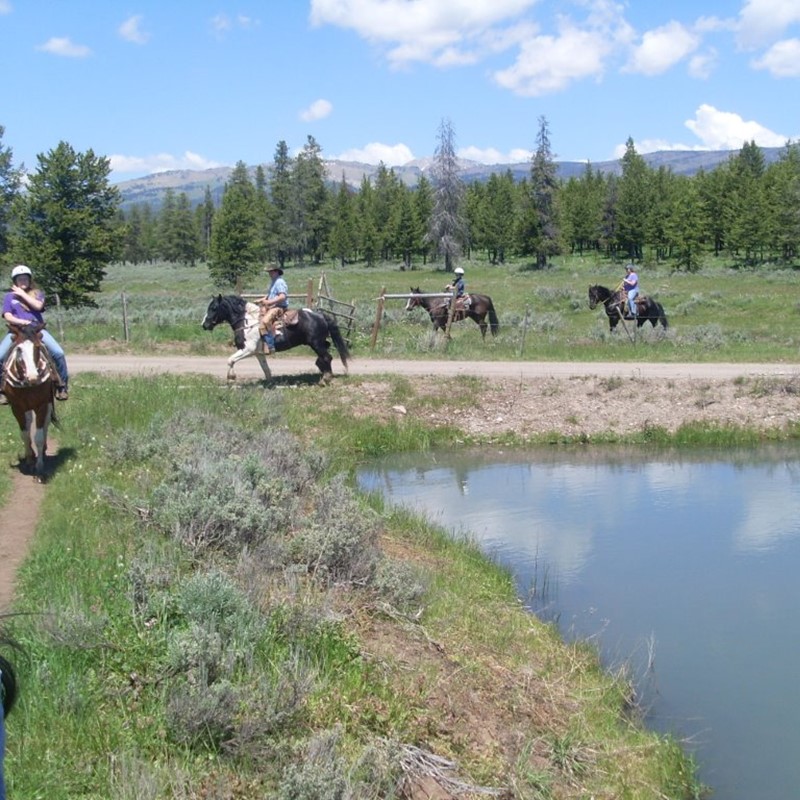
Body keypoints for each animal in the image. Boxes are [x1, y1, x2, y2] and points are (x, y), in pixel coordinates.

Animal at [2, 325, 57, 480]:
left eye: (37, 347)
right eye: (19, 349)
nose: (33, 377)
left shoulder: (41, 405)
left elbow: (38, 435)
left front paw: (39, 467)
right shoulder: (17, 407)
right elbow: (25, 434)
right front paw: (30, 461)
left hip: (48, 404)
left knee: (45, 425)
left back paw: (43, 450)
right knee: (28, 422)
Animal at [201, 295, 350, 383]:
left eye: (213, 307)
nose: (204, 325)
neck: (246, 322)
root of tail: (321, 315)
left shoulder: (247, 349)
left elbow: (230, 360)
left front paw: (231, 378)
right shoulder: (258, 353)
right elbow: (265, 369)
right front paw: (270, 383)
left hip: (316, 343)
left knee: (327, 357)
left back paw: (326, 378)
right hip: (319, 343)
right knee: (324, 354)